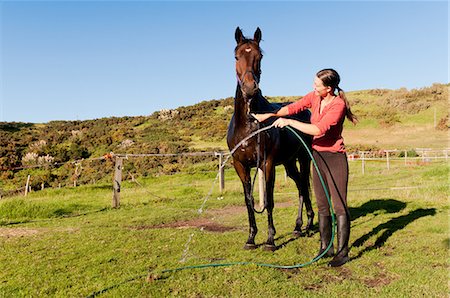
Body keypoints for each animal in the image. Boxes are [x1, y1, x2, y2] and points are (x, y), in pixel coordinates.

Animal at [227, 26, 314, 251]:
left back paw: (309, 224)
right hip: (289, 162)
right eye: (236, 56)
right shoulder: (240, 165)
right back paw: (299, 226)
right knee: (300, 186)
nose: (250, 88)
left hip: (304, 158)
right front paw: (251, 238)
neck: (249, 123)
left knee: (304, 185)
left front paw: (270, 240)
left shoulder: (267, 164)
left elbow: (269, 200)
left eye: (260, 56)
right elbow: (249, 201)